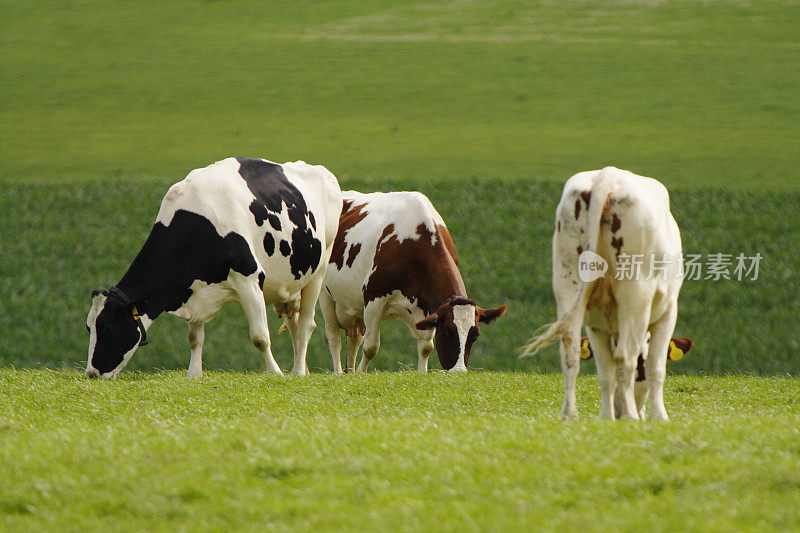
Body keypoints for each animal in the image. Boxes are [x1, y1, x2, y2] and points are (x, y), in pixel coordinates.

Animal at [86, 157, 342, 378]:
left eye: (106, 326)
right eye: (89, 327)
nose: (91, 374)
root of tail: (322, 171)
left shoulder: (249, 278)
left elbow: (260, 337)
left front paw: (275, 373)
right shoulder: (193, 287)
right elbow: (194, 338)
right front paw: (194, 374)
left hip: (319, 270)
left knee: (306, 324)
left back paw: (297, 371)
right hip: (290, 286)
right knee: (293, 325)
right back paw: (302, 369)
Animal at [318, 190, 506, 370]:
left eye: (475, 335)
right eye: (446, 331)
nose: (459, 371)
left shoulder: (427, 310)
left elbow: (426, 348)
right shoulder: (373, 299)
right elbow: (371, 348)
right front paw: (361, 374)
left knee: (354, 339)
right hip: (325, 294)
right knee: (333, 337)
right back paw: (339, 371)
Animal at [520, 166, 684, 420]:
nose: (619, 412)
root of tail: (608, 175)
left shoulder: (597, 325)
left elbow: (606, 373)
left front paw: (606, 416)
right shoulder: (668, 313)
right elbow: (655, 368)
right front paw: (659, 417)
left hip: (567, 283)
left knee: (570, 352)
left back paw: (570, 414)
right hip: (636, 294)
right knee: (625, 357)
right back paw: (631, 416)